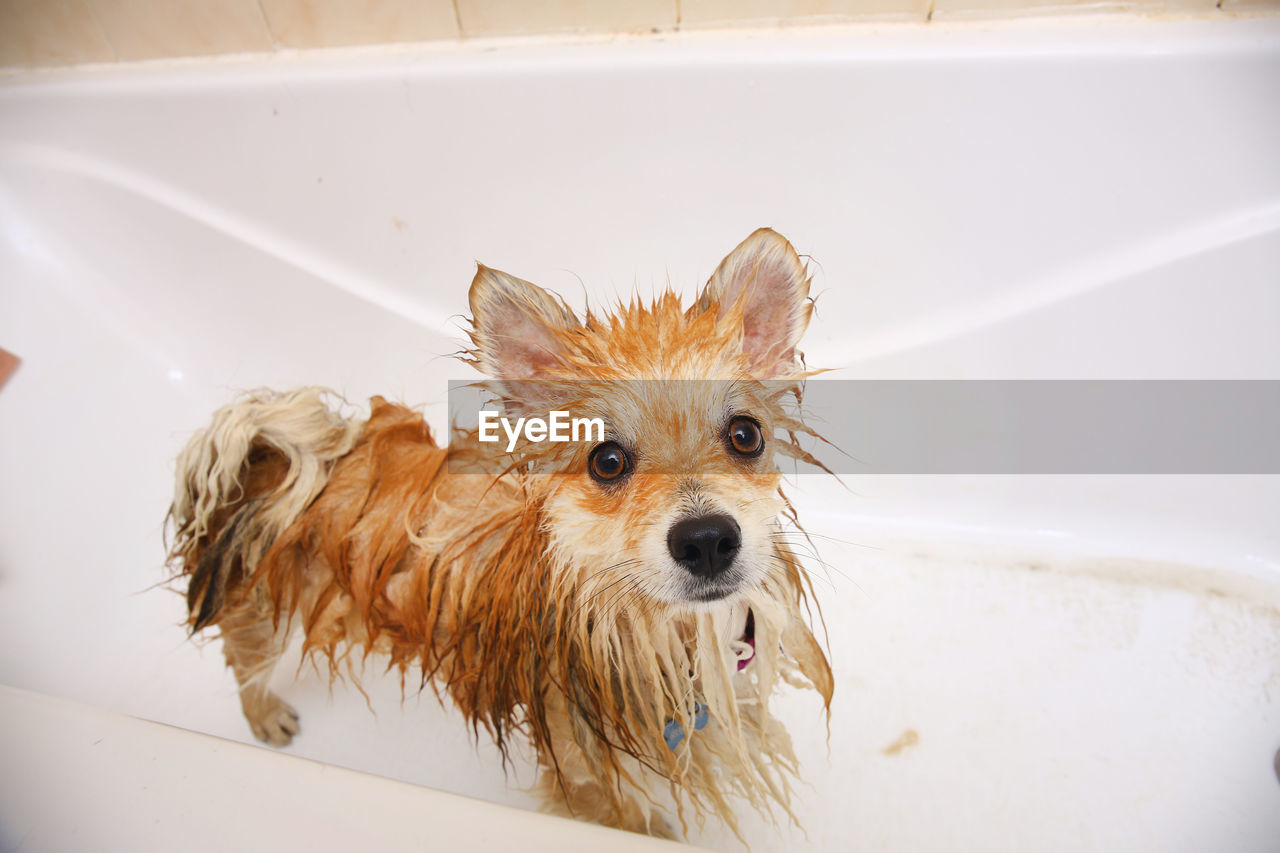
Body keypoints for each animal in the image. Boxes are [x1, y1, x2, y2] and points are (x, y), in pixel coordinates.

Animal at [167, 227, 829, 835]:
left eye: (745, 434)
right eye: (607, 461)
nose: (707, 539)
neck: (670, 634)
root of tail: (276, 455)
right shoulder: (586, 777)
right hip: (258, 606)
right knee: (244, 663)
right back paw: (266, 716)